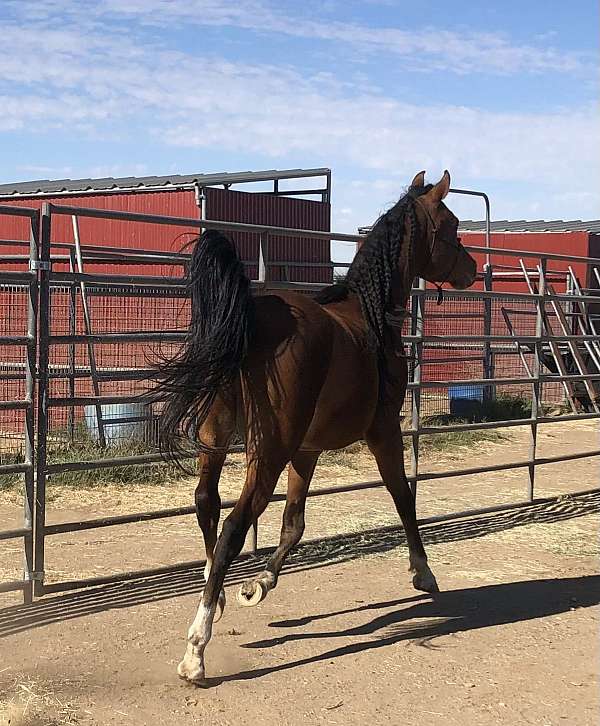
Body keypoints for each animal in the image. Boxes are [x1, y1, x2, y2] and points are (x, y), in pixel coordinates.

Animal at [156, 169, 478, 684]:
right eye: (451, 224)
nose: (471, 269)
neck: (368, 314)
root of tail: (254, 320)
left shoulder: (306, 451)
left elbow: (294, 525)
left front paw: (258, 585)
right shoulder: (383, 433)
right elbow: (403, 498)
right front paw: (423, 572)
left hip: (218, 438)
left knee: (206, 503)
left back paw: (217, 595)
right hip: (267, 450)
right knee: (232, 526)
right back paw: (196, 652)